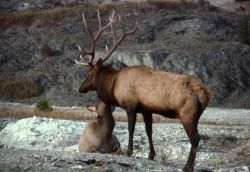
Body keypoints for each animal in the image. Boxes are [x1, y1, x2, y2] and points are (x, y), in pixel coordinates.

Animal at [74, 10, 211, 171]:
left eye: (89, 74)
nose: (80, 88)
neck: (114, 85)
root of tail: (205, 93)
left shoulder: (131, 104)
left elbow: (131, 128)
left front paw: (129, 152)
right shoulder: (146, 109)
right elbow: (149, 131)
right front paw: (151, 155)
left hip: (187, 114)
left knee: (196, 138)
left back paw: (187, 166)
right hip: (196, 115)